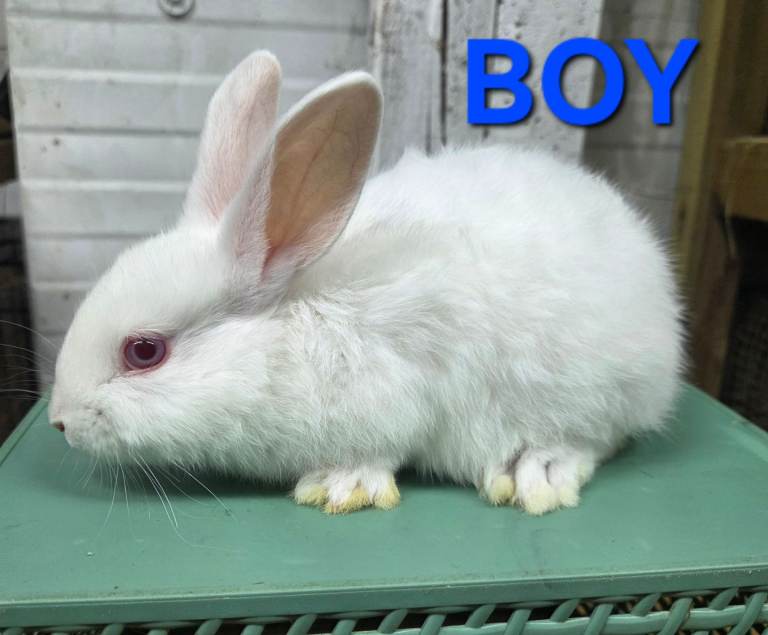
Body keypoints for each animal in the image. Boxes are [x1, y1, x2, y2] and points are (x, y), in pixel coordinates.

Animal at [49, 51, 683, 515]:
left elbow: (378, 451)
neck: (288, 325)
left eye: (143, 351)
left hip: (594, 390)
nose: (60, 423)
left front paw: (339, 486)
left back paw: (535, 472)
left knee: (595, 440)